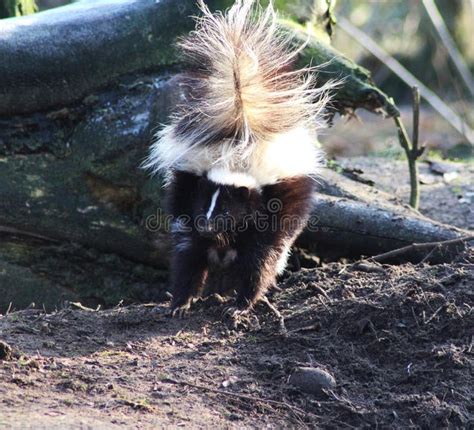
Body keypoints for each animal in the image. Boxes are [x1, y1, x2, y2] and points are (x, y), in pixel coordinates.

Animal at [144, 0, 334, 316]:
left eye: (225, 211)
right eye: (203, 206)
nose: (206, 225)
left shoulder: (270, 213)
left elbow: (259, 261)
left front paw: (241, 306)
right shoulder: (189, 199)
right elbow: (189, 256)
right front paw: (182, 302)